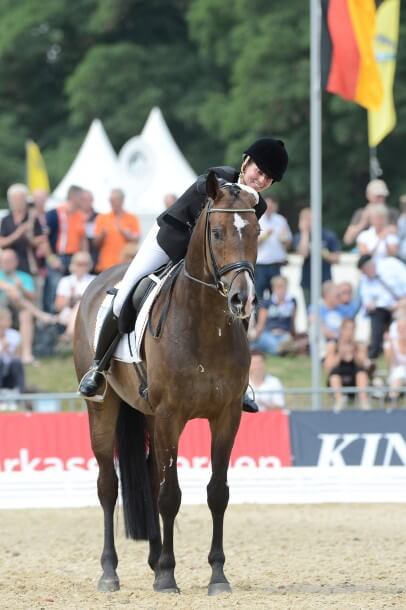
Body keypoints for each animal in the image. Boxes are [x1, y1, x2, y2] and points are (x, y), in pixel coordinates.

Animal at [73, 171, 260, 592]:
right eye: (217, 232)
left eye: (257, 231)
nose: (242, 299)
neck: (204, 325)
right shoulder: (171, 416)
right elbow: (170, 495)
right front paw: (168, 577)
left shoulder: (226, 417)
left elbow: (216, 493)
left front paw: (217, 576)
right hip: (103, 410)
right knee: (108, 486)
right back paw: (110, 572)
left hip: (148, 415)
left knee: (147, 473)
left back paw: (154, 559)